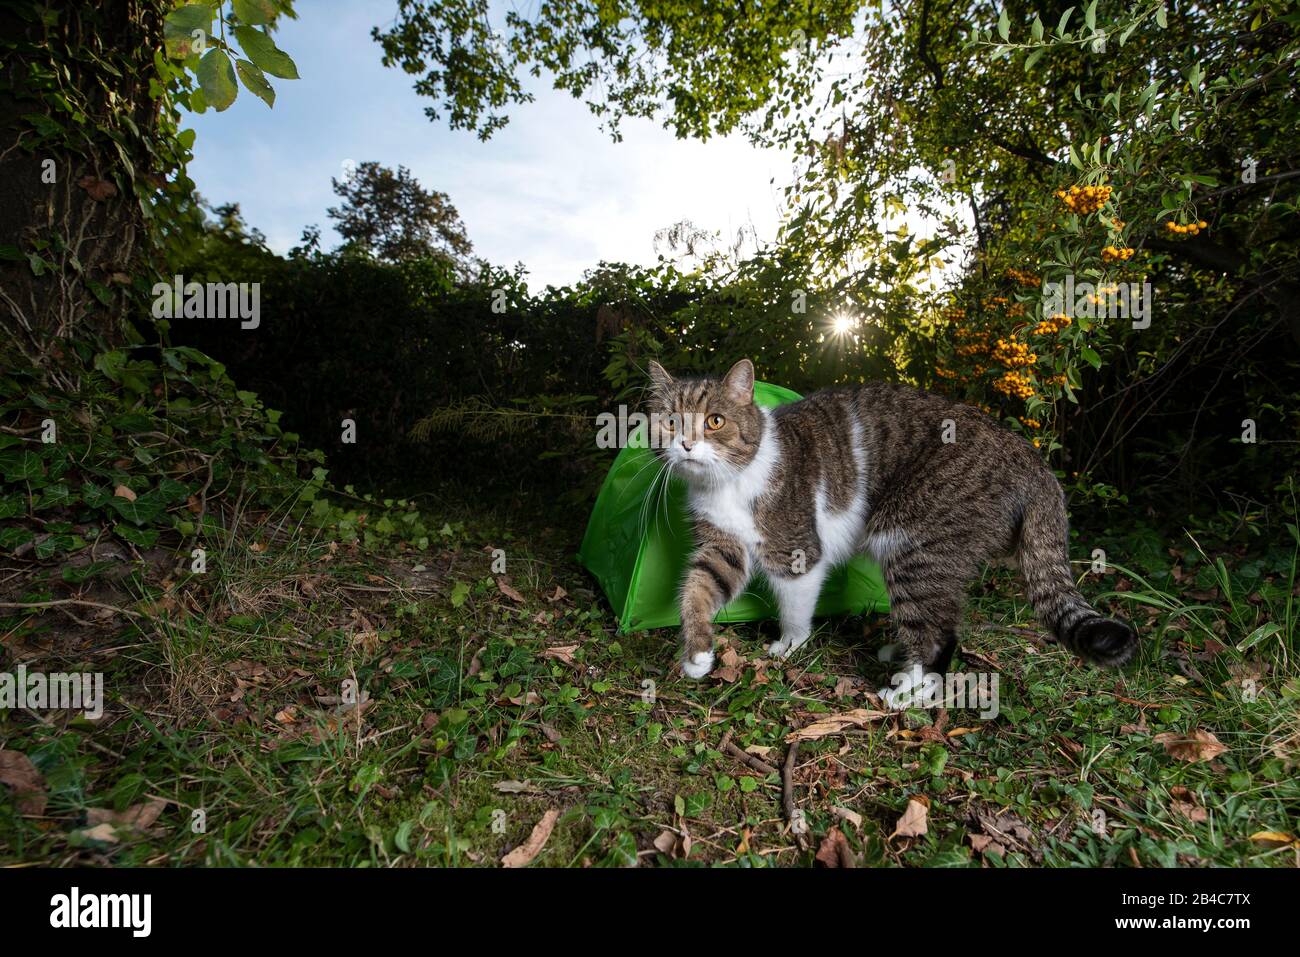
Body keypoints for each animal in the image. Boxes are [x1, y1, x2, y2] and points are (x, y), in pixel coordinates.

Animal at [644, 356, 1133, 707]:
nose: (686, 444)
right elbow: (697, 590)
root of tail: (1033, 460)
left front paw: (790, 644)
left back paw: (905, 694)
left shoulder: (796, 550)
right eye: (670, 421)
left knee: (938, 637)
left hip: (911, 542)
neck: (726, 483)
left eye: (715, 421)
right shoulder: (722, 547)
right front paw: (697, 654)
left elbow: (795, 605)